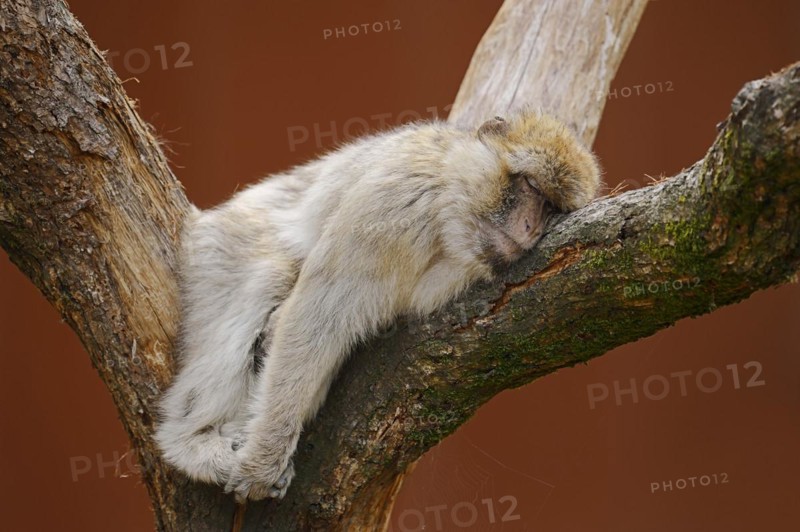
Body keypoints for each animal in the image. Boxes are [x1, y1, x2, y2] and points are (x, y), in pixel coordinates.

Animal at [154, 110, 601, 501]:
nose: (529, 227)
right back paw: (190, 442)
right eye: (531, 187)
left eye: (551, 209)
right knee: (269, 273)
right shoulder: (394, 202)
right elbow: (316, 316)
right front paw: (263, 460)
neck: (445, 212)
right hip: (218, 251)